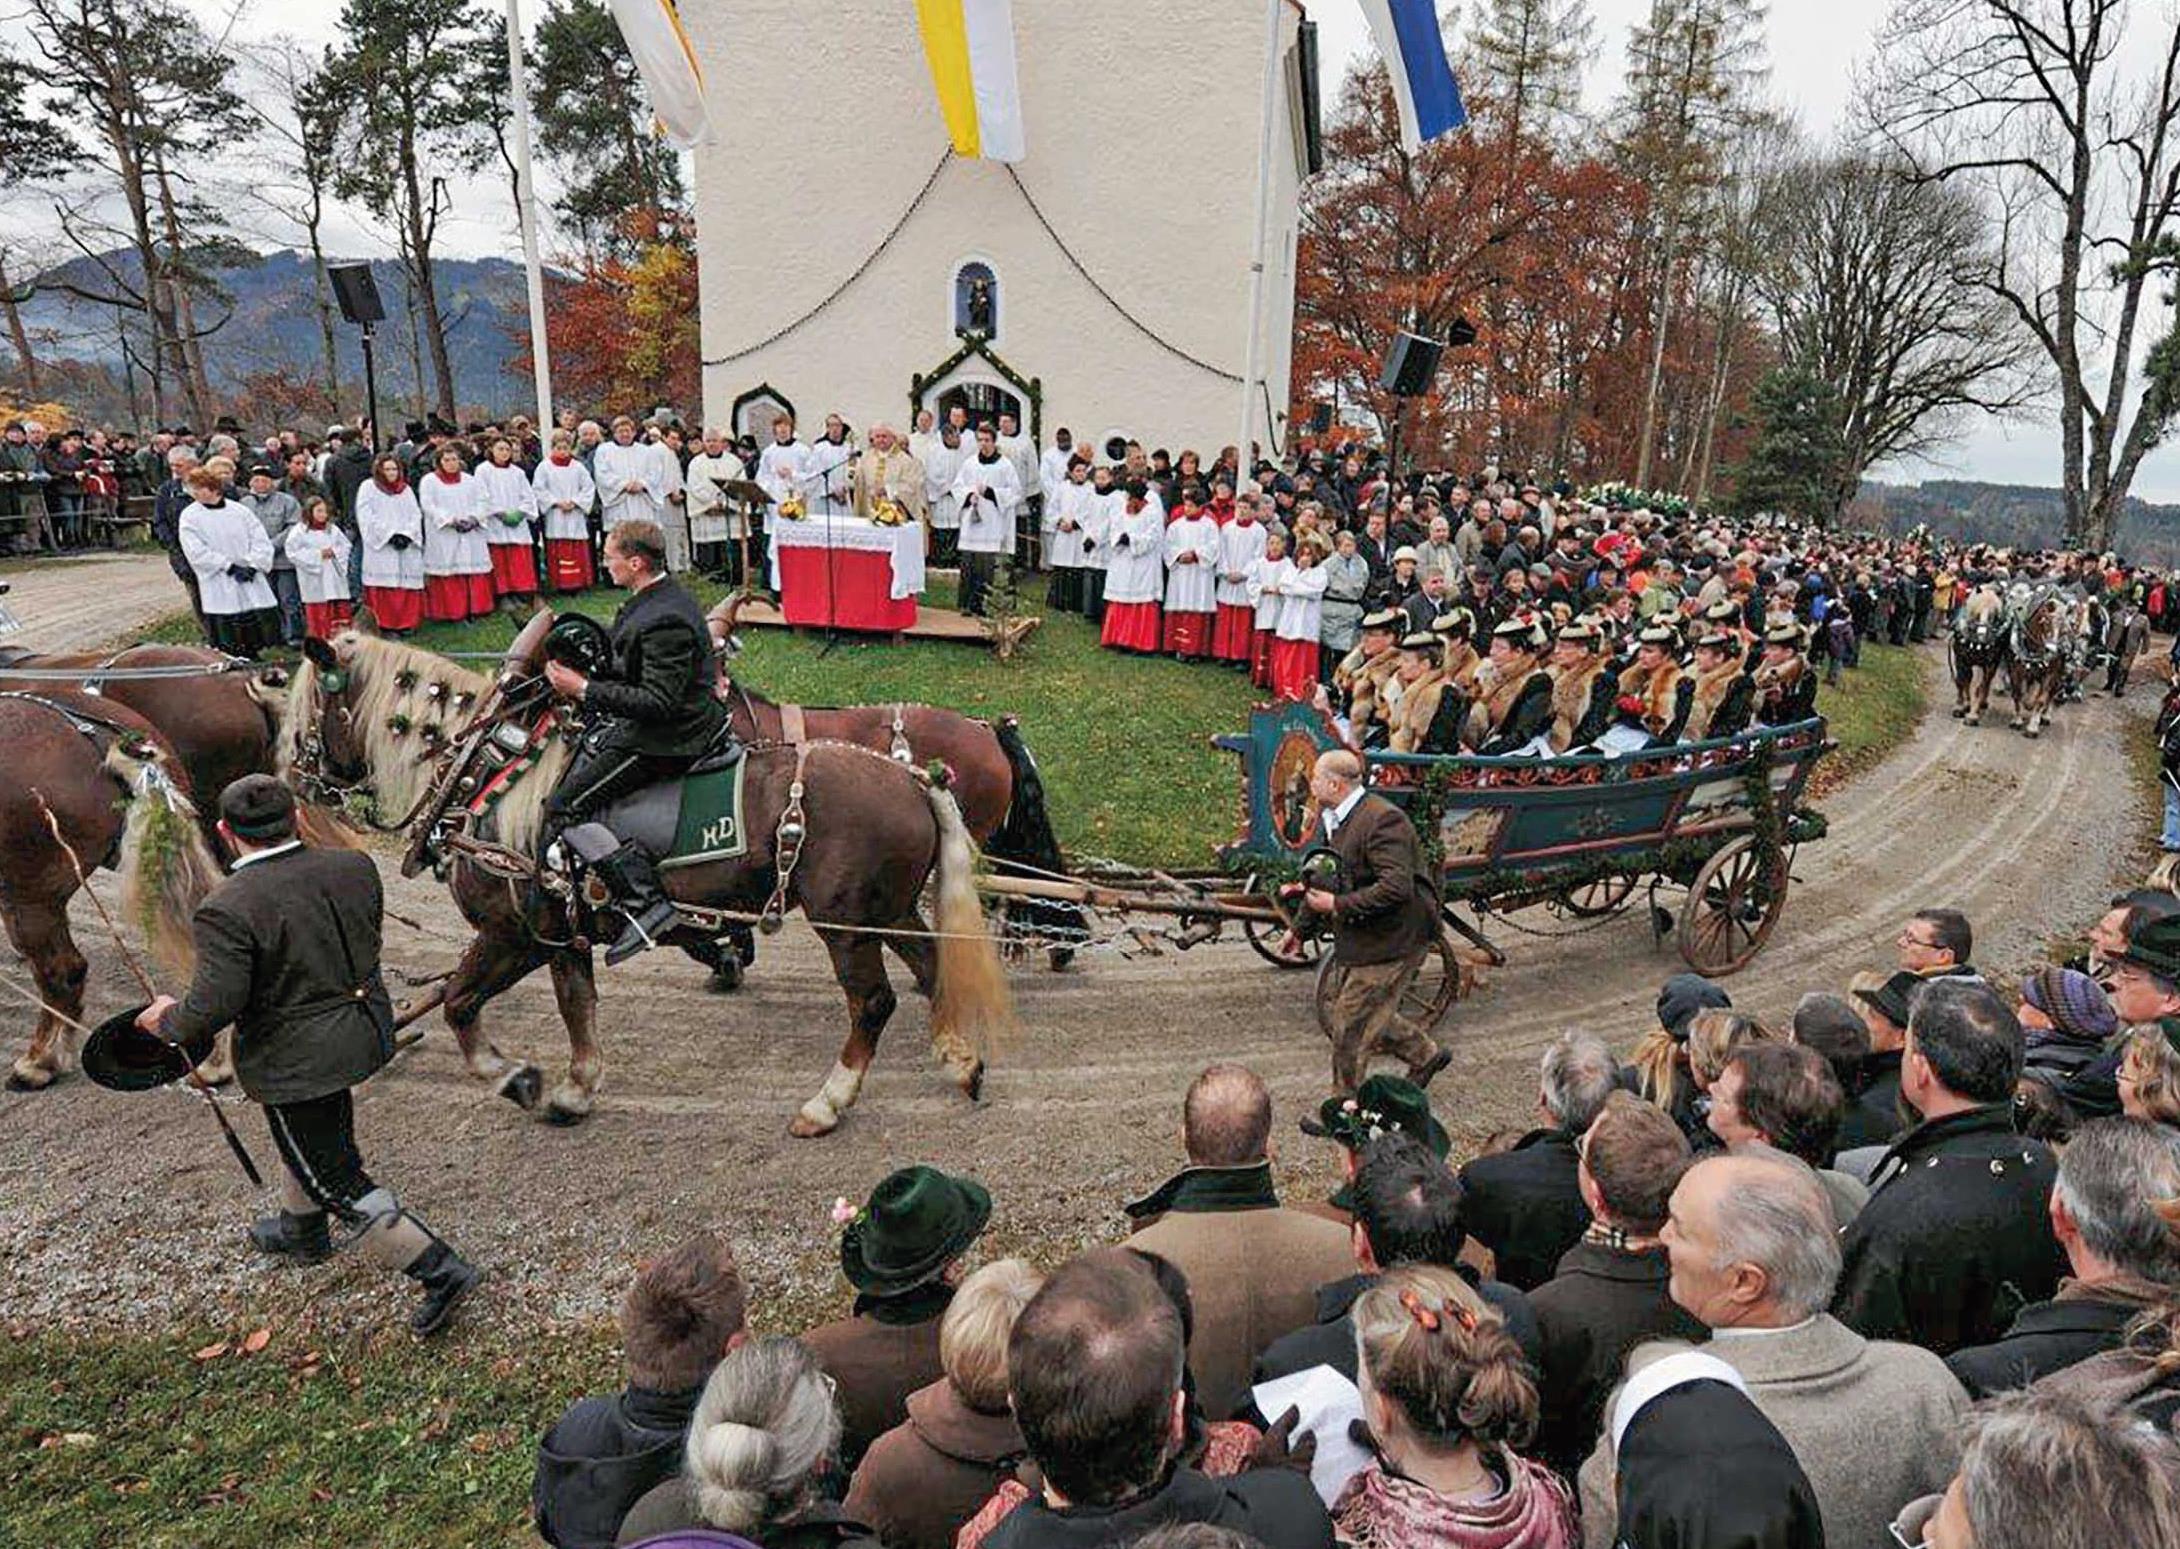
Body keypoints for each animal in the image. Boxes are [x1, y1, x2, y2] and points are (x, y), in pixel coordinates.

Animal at [283, 627, 1020, 1141]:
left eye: (303, 714)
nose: (293, 781)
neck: (495, 774)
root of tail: (915, 777)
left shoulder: (522, 930)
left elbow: (477, 1003)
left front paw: (527, 1080)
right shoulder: (557, 934)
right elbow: (543, 1003)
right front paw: (562, 1084)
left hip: (847, 923)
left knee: (872, 1003)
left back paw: (827, 1102)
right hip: (888, 911)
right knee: (934, 972)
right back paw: (960, 1061)